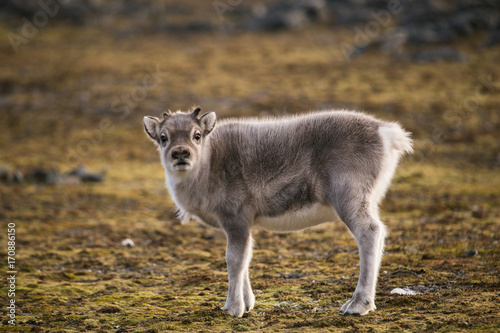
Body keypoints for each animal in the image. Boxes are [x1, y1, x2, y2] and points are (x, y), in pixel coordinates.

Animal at [143, 107, 412, 316]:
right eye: (164, 137)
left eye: (196, 135)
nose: (180, 153)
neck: (209, 166)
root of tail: (387, 133)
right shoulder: (246, 224)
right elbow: (247, 258)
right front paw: (248, 303)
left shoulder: (236, 218)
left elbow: (234, 260)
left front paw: (233, 308)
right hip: (368, 199)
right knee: (380, 233)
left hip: (349, 196)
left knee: (370, 233)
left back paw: (357, 304)